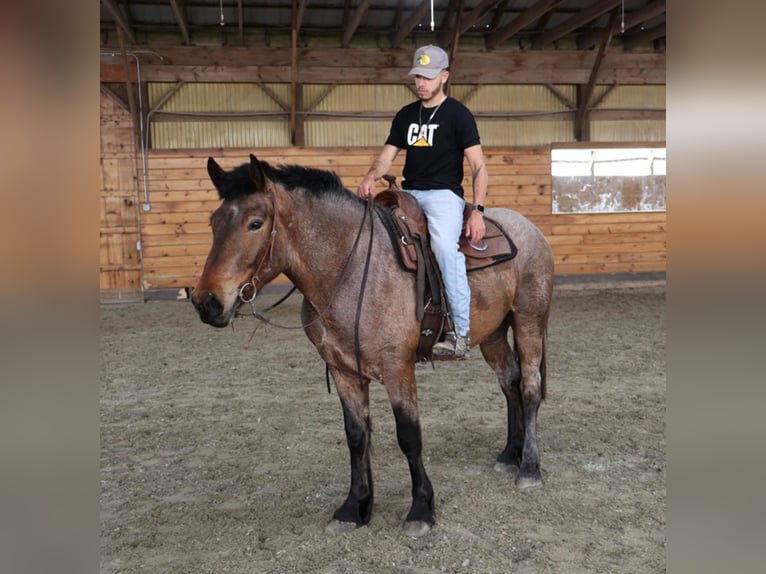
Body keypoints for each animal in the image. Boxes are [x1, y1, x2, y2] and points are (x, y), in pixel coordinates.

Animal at [190, 154, 552, 540]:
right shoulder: (344, 371)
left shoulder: (398, 369)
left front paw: (421, 509)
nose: (206, 302)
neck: (347, 271)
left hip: (529, 322)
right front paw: (355, 508)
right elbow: (356, 436)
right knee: (509, 382)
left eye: (255, 223)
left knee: (529, 388)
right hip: (494, 335)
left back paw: (529, 467)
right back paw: (509, 454)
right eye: (213, 222)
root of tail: (531, 229)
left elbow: (409, 436)